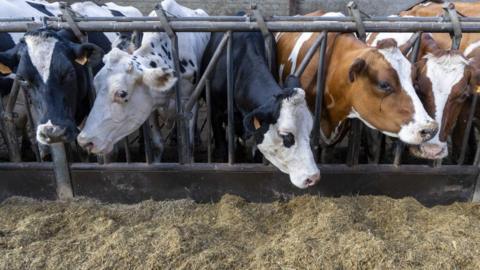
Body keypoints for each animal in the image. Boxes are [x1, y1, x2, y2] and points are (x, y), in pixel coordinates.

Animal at [76, 0, 208, 159]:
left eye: (121, 94)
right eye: (95, 84)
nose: (84, 141)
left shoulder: (188, 101)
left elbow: (188, 145)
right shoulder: (150, 106)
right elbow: (157, 144)